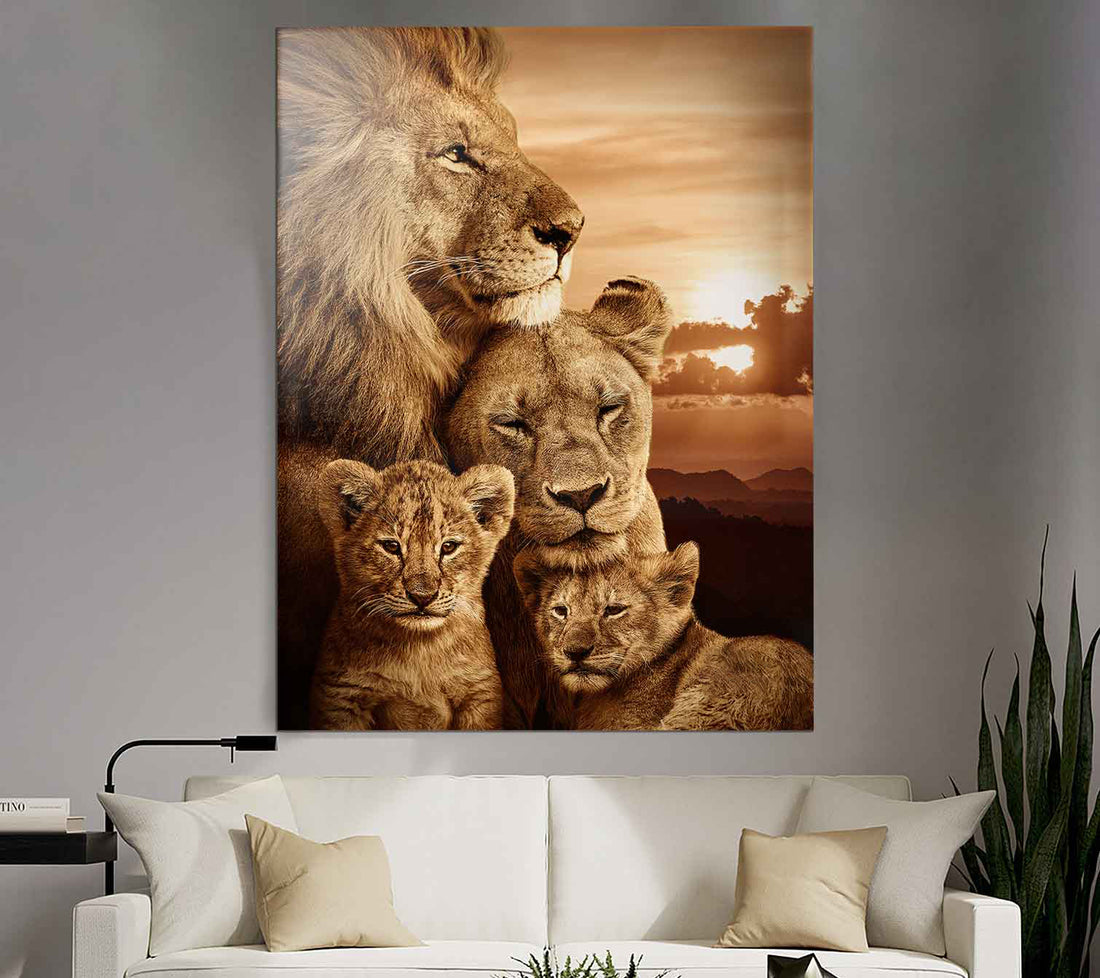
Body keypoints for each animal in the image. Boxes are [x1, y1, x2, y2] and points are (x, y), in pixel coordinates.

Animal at [310, 459, 514, 730]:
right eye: (391, 546)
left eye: (449, 547)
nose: (422, 596)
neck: (419, 648)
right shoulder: (342, 695)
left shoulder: (479, 693)